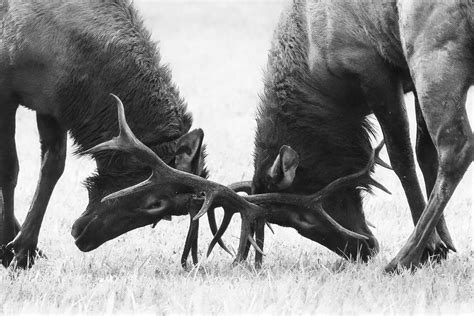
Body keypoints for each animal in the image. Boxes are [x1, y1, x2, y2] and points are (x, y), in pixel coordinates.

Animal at [0, 0, 233, 270]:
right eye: (155, 203)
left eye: (165, 218)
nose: (84, 238)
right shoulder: (7, 94)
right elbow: (9, 171)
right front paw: (8, 250)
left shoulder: (51, 106)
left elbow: (52, 167)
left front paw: (25, 250)